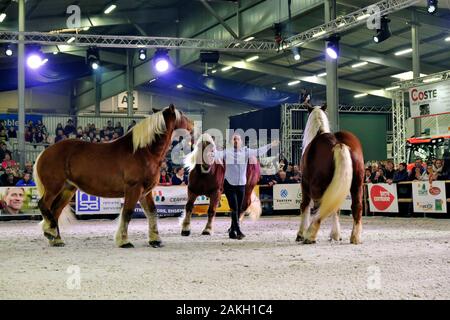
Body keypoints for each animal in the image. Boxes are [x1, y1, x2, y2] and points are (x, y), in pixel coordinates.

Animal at [33, 105, 192, 248]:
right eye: (183, 115)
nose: (193, 125)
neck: (143, 151)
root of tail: (45, 153)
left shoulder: (145, 192)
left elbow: (152, 213)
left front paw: (155, 240)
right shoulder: (134, 189)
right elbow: (127, 213)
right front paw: (124, 241)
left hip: (68, 189)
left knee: (55, 211)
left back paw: (56, 239)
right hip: (54, 188)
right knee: (43, 205)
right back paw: (50, 232)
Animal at [296, 104, 366, 244]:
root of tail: (338, 143)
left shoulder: (304, 182)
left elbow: (305, 205)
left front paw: (300, 233)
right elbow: (335, 207)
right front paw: (335, 235)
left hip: (317, 185)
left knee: (320, 207)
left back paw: (310, 235)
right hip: (357, 184)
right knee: (356, 206)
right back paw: (355, 237)